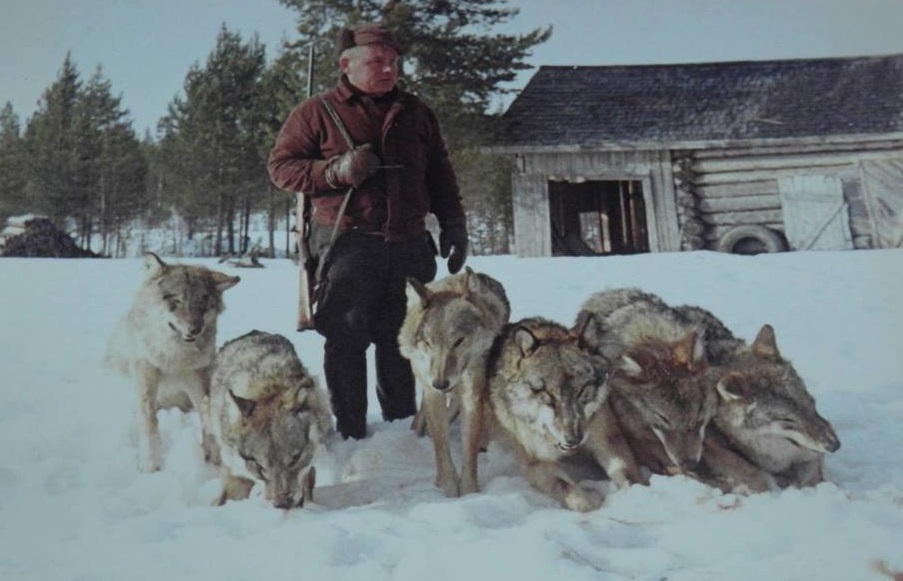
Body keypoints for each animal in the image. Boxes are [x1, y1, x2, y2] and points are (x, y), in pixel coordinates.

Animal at [103, 254, 240, 472]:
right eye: (176, 300)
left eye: (203, 303)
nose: (195, 329)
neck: (175, 356)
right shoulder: (146, 370)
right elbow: (148, 418)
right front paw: (150, 462)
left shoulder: (196, 373)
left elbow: (206, 412)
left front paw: (214, 454)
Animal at [400, 268, 512, 498]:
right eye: (428, 342)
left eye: (458, 341)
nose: (441, 383)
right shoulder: (433, 394)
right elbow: (441, 446)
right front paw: (449, 491)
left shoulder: (472, 396)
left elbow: (470, 451)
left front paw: (469, 494)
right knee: (421, 419)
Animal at [488, 318, 644, 512]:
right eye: (548, 394)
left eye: (581, 391)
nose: (574, 439)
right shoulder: (537, 463)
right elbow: (573, 493)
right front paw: (594, 499)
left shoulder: (608, 439)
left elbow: (629, 476)